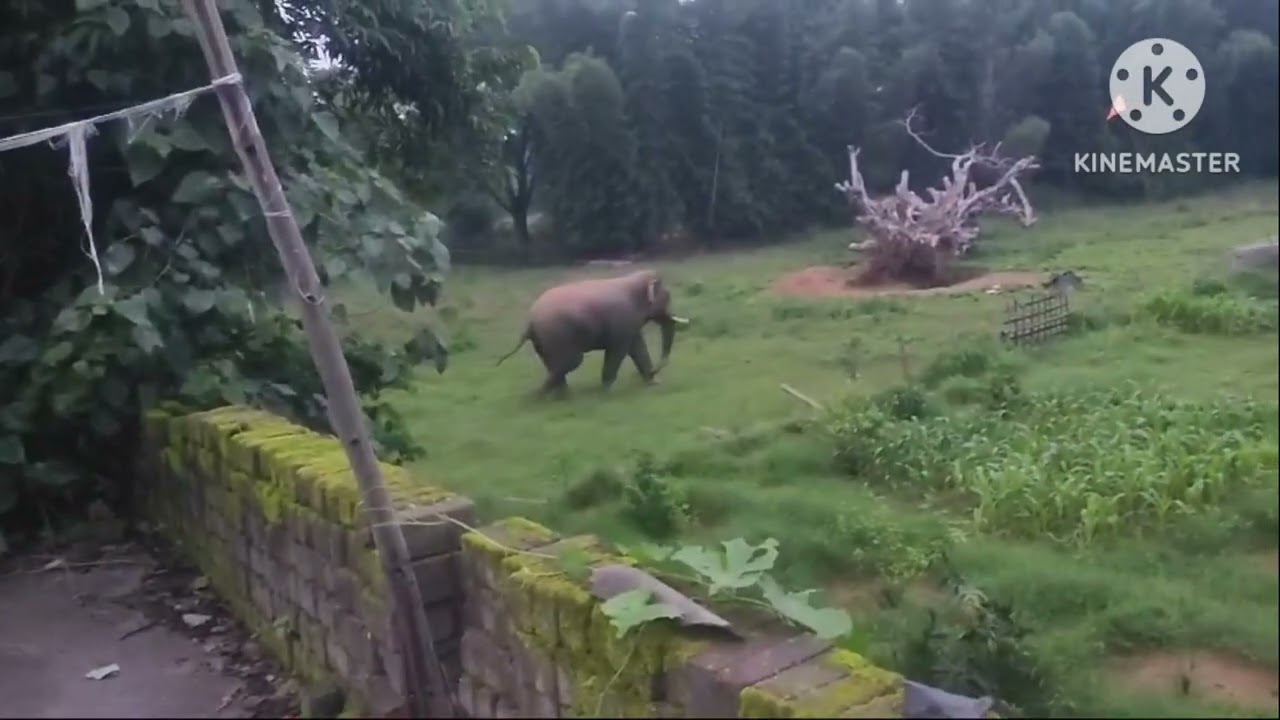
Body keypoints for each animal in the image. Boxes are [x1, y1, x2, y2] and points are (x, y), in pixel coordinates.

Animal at [496, 269, 689, 393]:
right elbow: (619, 350)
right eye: (668, 297)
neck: (632, 280)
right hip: (557, 335)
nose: (655, 371)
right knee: (572, 361)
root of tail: (529, 320)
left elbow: (637, 348)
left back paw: (560, 396)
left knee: (553, 363)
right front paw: (607, 389)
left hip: (543, 341)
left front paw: (653, 383)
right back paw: (538, 396)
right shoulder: (622, 322)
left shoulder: (629, 324)